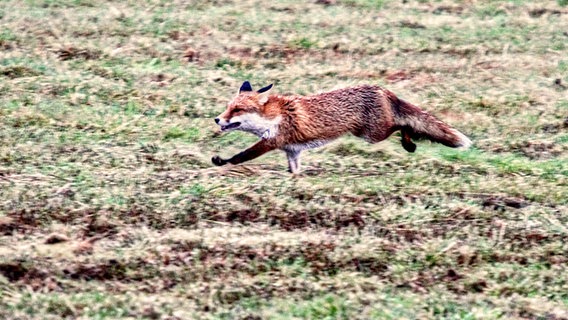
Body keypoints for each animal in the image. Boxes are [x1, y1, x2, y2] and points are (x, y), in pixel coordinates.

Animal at [213, 81, 470, 174]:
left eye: (237, 110)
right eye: (228, 108)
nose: (217, 120)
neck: (274, 116)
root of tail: (382, 89)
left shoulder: (271, 141)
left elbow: (241, 156)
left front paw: (221, 162)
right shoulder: (292, 150)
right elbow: (294, 171)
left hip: (372, 134)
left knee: (403, 124)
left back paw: (409, 144)